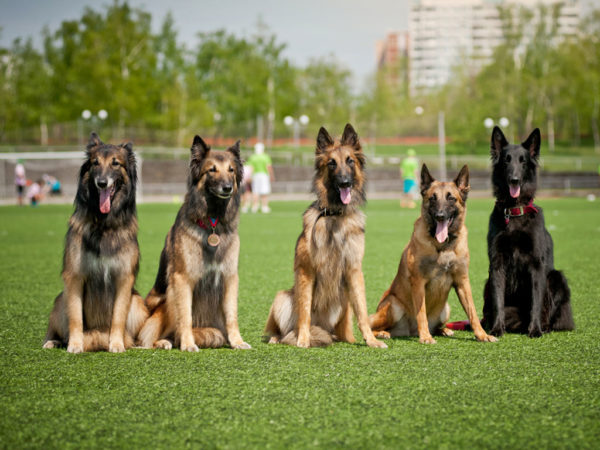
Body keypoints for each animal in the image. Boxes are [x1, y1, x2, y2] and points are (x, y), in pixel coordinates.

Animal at [42, 132, 149, 354]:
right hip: (60, 299)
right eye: (95, 163)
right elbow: (75, 318)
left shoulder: (124, 279)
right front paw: (75, 345)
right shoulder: (74, 277)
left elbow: (118, 317)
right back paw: (54, 341)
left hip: (137, 302)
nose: (101, 183)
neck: (104, 225)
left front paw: (116, 344)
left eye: (116, 163)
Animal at [137, 134, 250, 352]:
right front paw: (188, 344)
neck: (213, 221)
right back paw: (164, 342)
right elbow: (185, 316)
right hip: (166, 300)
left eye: (231, 170)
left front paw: (237, 341)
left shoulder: (230, 278)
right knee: (146, 339)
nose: (227, 187)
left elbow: (232, 316)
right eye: (212, 169)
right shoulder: (182, 279)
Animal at [264, 125, 386, 350]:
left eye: (350, 161)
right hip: (282, 297)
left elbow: (363, 312)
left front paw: (371, 340)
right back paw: (279, 337)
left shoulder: (354, 270)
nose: (345, 182)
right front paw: (303, 340)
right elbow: (304, 312)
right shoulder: (306, 271)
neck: (335, 216)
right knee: (284, 328)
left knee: (344, 330)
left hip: (343, 303)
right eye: (332, 163)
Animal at [370, 165, 496, 344]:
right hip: (393, 305)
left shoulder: (462, 281)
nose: (440, 216)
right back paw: (384, 333)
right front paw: (425, 337)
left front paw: (482, 334)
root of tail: (409, 332)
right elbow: (421, 312)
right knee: (371, 325)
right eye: (432, 199)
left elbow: (472, 312)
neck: (443, 247)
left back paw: (443, 330)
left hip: (446, 309)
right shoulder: (418, 282)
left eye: (451, 199)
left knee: (436, 326)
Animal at [480, 126, 576, 338]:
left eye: (522, 161)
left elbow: (536, 302)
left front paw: (535, 330)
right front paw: (497, 329)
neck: (515, 212)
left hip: (556, 278)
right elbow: (498, 301)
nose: (514, 180)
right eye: (506, 160)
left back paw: (544, 326)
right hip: (486, 283)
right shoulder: (497, 265)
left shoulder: (536, 265)